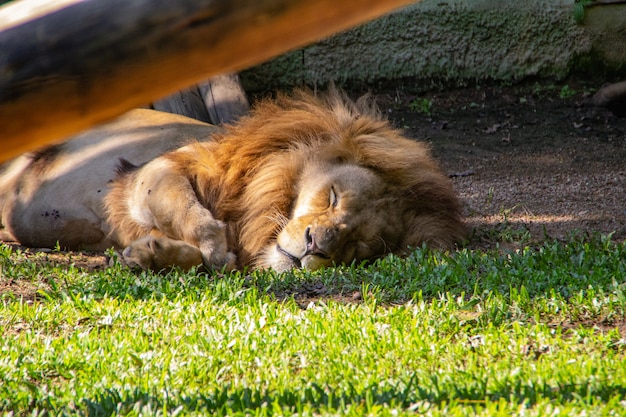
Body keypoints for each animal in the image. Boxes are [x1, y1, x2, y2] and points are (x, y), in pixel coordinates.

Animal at [0, 88, 464, 270]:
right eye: (333, 197)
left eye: (362, 246)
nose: (316, 246)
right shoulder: (149, 172)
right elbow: (195, 217)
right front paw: (215, 250)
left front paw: (154, 253)